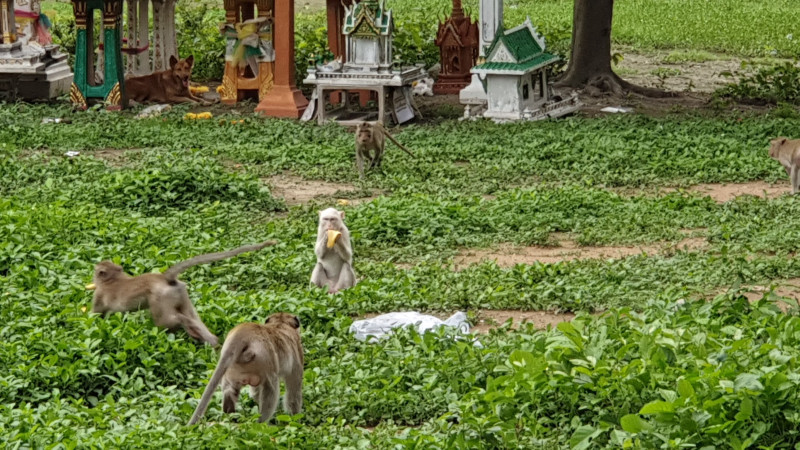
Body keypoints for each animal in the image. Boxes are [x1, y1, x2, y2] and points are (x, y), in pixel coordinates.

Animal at [87, 241, 278, 346]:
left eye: (96, 271)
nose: (92, 273)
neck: (114, 279)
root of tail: (165, 278)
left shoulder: (99, 295)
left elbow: (95, 314)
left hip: (161, 299)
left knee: (168, 321)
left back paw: (188, 327)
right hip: (181, 295)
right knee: (192, 316)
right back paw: (212, 341)